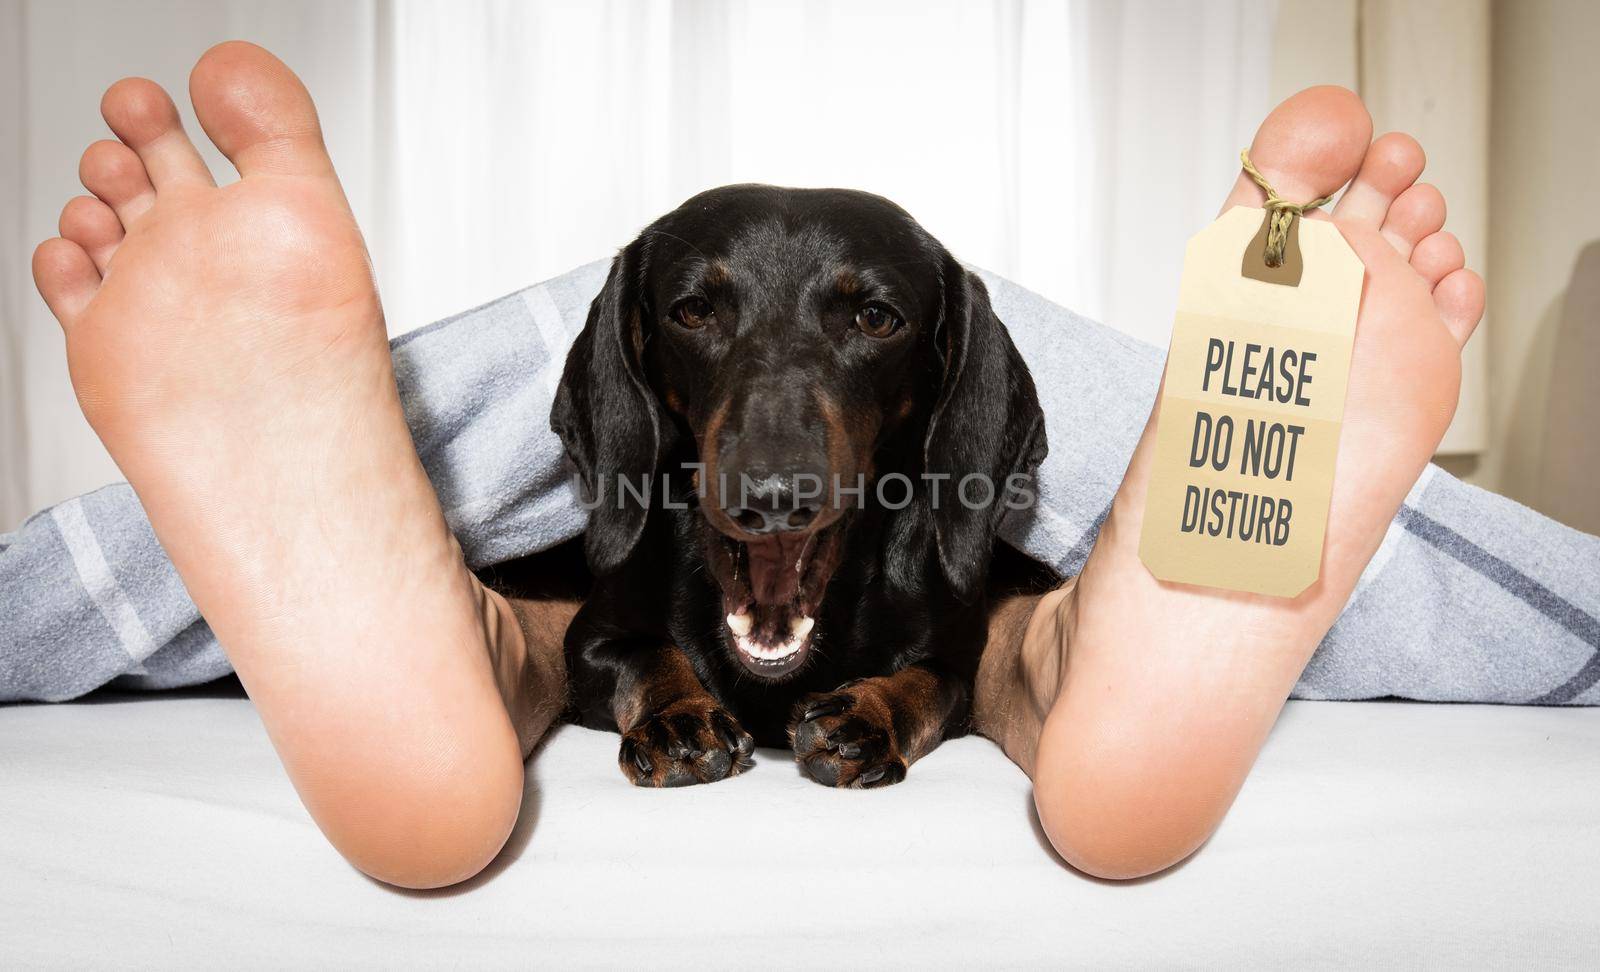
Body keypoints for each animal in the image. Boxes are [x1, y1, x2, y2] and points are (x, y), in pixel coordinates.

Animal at [553, 183, 1049, 789]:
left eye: (876, 318)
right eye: (693, 310)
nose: (771, 497)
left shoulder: (958, 667)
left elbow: (925, 682)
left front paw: (868, 713)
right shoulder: (588, 642)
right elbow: (647, 656)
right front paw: (679, 714)